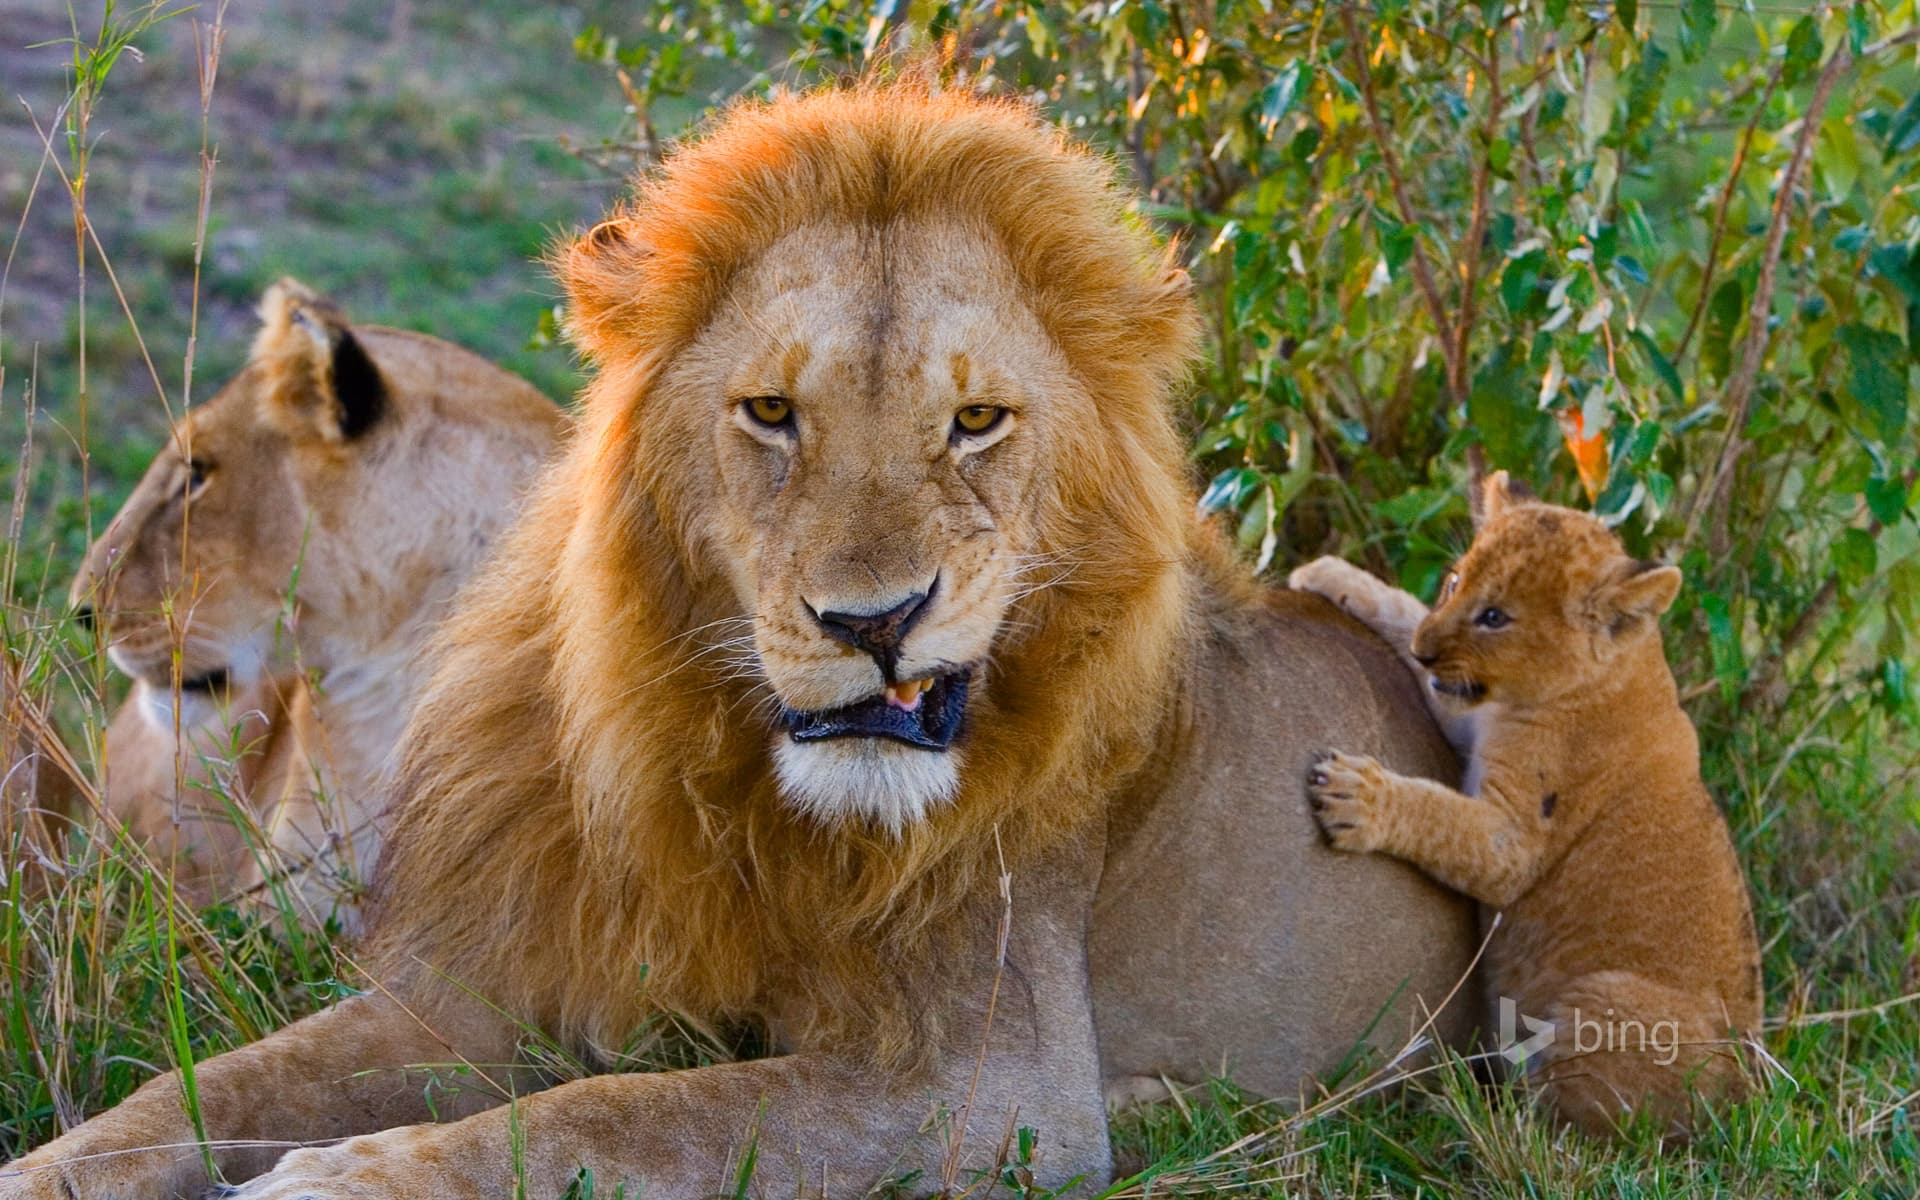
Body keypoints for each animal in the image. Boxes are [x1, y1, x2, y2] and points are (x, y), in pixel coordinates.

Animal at [1294, 472, 1762, 1138]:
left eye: (1495, 617)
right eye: (1455, 582)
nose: (1428, 651)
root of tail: (1746, 1098)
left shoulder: (1515, 840)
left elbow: (1442, 821)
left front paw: (1356, 796)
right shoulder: (1468, 719)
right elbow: (1401, 609)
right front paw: (1330, 574)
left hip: (1605, 1002)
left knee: (1563, 1126)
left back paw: (1464, 1110)